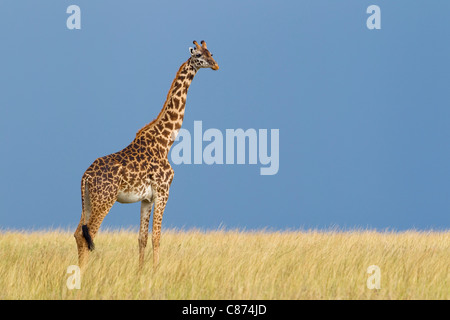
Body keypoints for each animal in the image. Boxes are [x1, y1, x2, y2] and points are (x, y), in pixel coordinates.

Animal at [74, 41, 220, 268]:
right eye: (198, 55)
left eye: (210, 52)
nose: (215, 65)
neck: (166, 141)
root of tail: (86, 176)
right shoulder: (163, 192)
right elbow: (156, 236)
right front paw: (156, 270)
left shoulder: (146, 198)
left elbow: (142, 237)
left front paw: (141, 270)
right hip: (105, 200)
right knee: (88, 234)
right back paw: (84, 272)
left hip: (88, 200)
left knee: (77, 233)